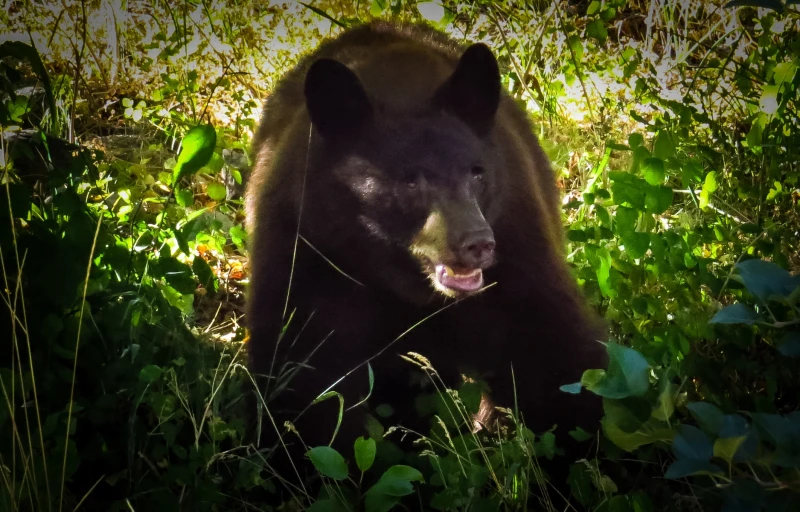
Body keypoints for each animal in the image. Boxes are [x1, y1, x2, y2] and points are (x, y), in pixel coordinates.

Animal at [244, 19, 608, 480]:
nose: (477, 243)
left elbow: (552, 353)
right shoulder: (312, 252)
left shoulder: (515, 248)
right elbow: (305, 371)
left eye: (477, 173)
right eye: (410, 181)